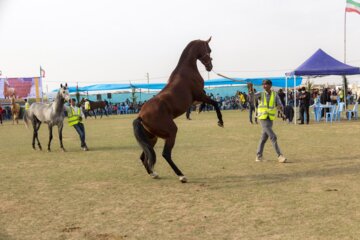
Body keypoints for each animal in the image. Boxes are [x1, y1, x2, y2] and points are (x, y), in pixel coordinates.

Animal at [132, 37, 222, 183]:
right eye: (209, 50)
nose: (210, 67)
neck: (187, 70)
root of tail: (140, 116)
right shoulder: (199, 95)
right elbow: (215, 103)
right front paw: (220, 122)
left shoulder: (197, 98)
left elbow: (208, 102)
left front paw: (201, 110)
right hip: (171, 132)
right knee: (165, 154)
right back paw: (181, 176)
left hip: (152, 138)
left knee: (145, 155)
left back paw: (154, 174)